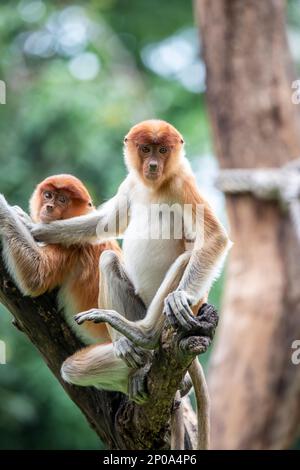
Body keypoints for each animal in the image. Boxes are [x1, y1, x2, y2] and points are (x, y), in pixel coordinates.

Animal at [27, 120, 230, 448]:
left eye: (163, 150)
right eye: (146, 149)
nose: (152, 165)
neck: (153, 186)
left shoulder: (182, 183)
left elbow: (213, 237)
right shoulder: (130, 185)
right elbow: (105, 222)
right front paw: (33, 228)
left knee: (187, 258)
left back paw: (145, 334)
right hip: (138, 305)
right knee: (109, 259)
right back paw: (129, 345)